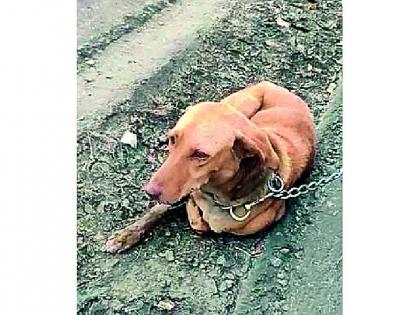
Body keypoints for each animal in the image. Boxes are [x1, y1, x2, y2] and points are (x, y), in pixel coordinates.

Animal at [106, 82, 314, 254]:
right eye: (173, 139)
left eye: (201, 154)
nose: (149, 192)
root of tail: (277, 86)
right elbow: (159, 210)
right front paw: (126, 234)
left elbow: (196, 220)